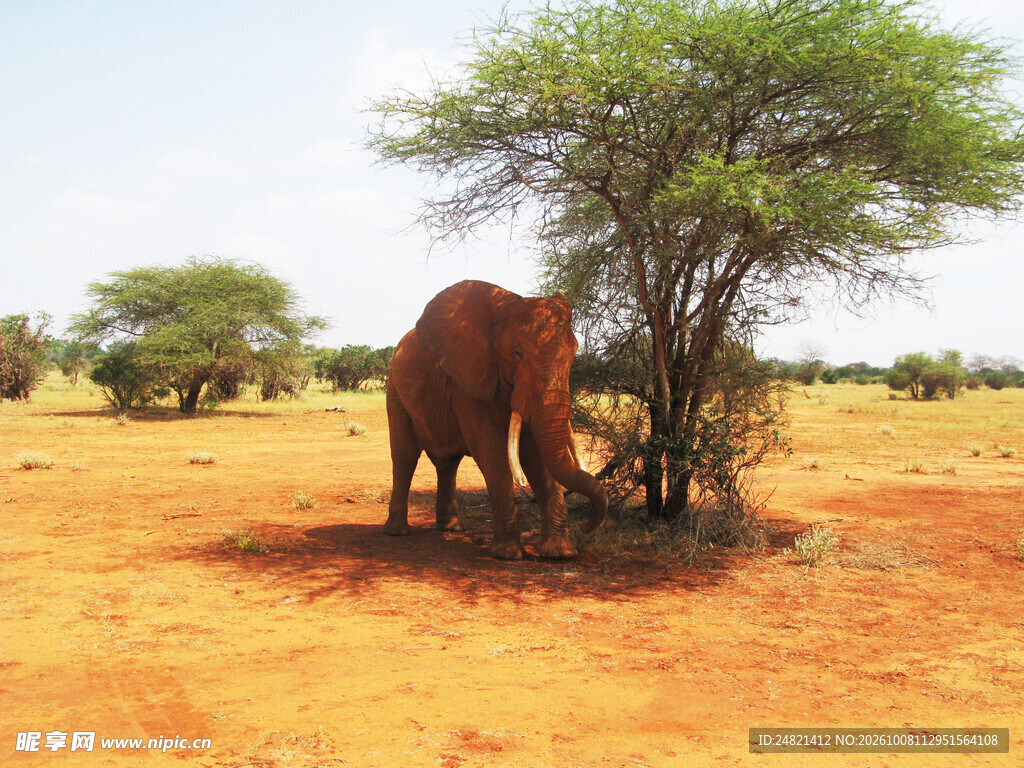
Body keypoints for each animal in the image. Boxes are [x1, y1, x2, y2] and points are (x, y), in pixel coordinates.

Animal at [384, 280, 608, 560]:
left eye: (574, 354)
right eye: (517, 353)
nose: (585, 525)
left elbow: (537, 456)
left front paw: (560, 552)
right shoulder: (469, 381)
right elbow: (491, 451)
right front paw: (507, 554)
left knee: (448, 464)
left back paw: (452, 528)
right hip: (394, 390)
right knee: (405, 456)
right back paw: (397, 532)